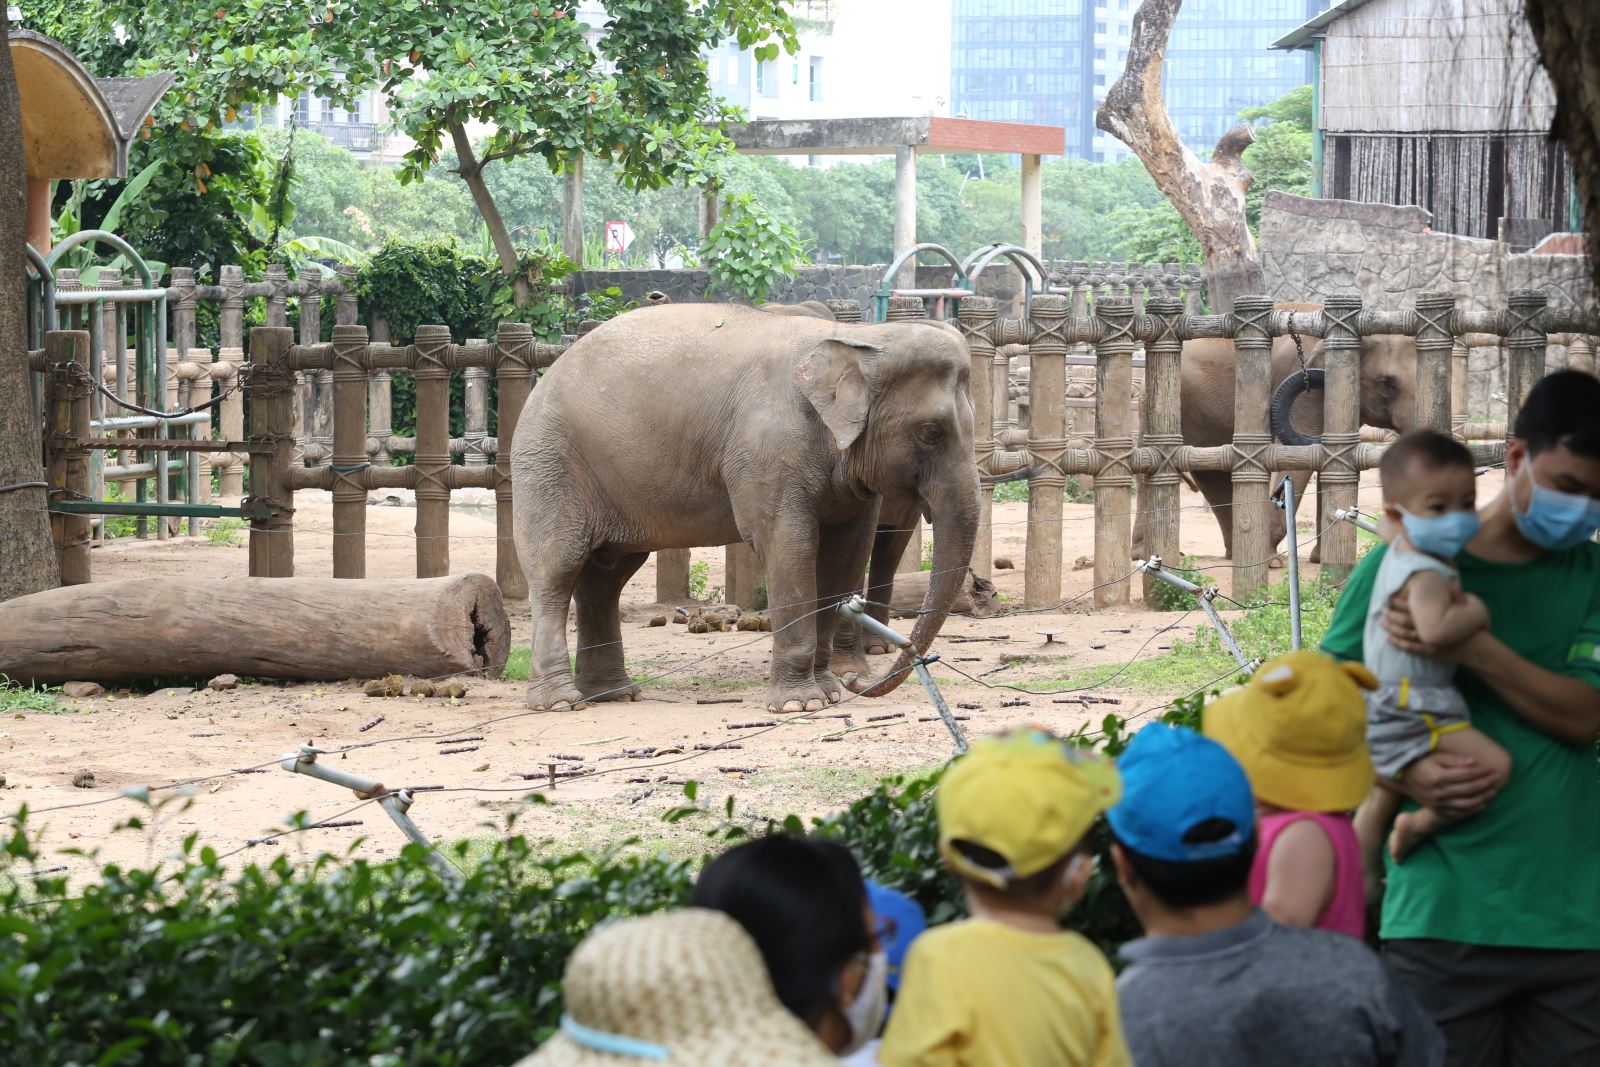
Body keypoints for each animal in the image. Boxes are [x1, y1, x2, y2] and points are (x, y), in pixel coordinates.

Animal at [512, 303, 979, 713]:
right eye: (931, 431)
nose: (857, 683)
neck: (860, 338)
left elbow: (846, 555)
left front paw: (828, 692)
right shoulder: (767, 453)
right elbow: (789, 545)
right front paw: (799, 704)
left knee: (606, 578)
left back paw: (614, 695)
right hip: (549, 465)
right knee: (558, 570)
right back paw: (561, 702)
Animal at [1132, 335, 1420, 563]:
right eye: (1387, 383)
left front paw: (1318, 560)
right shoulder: (1307, 384)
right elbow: (1295, 460)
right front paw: (1271, 561)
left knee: (1210, 472)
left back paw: (1234, 554)